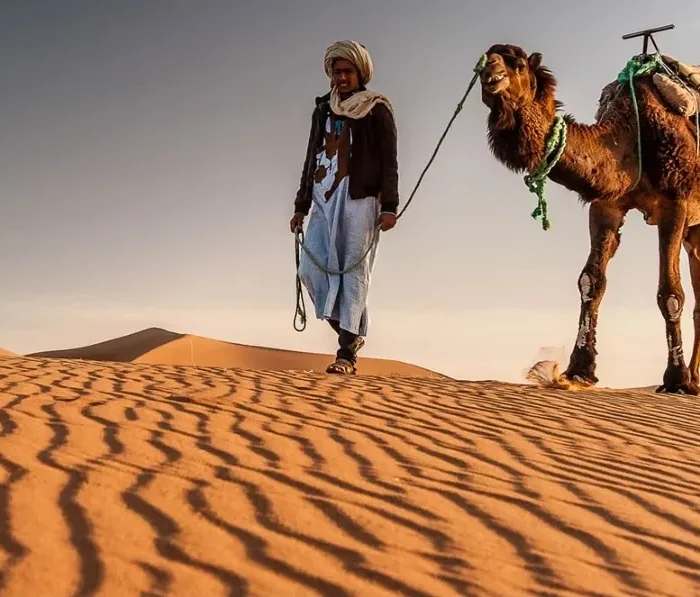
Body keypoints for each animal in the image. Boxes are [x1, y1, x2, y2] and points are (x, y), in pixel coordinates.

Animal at [479, 44, 700, 394]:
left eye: (518, 65)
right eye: (485, 60)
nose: (491, 74)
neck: (634, 132)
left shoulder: (675, 201)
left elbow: (670, 293)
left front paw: (676, 379)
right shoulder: (606, 204)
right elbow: (591, 281)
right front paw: (579, 369)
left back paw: (690, 377)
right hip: (695, 235)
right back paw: (696, 377)